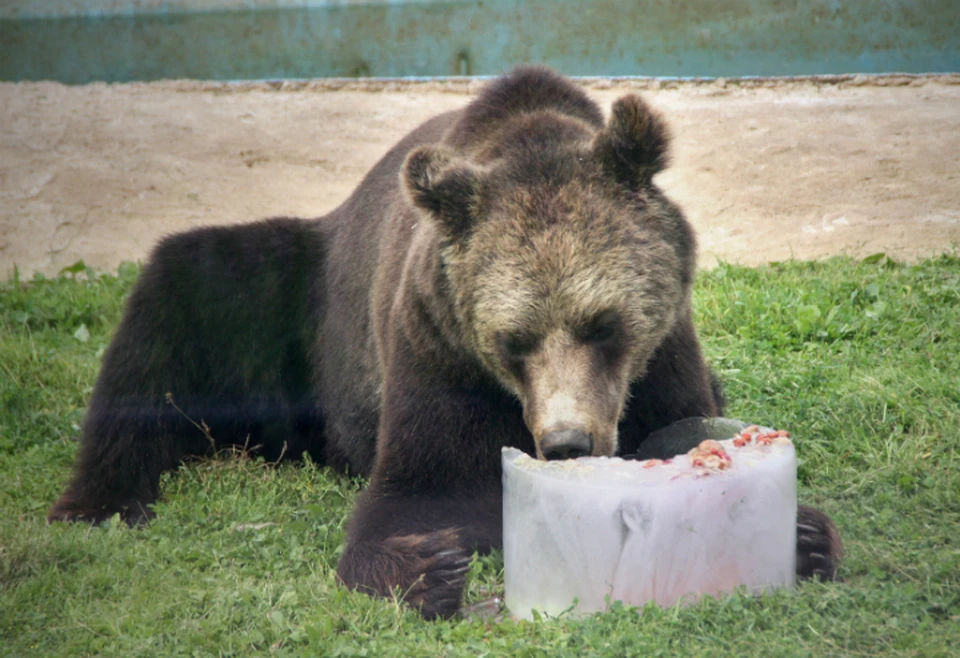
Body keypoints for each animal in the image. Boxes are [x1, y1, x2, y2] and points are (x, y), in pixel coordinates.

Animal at [48, 65, 840, 616]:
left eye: (603, 324)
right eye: (514, 338)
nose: (567, 443)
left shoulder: (662, 354)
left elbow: (684, 427)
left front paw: (801, 534)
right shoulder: (437, 350)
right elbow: (424, 490)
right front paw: (427, 564)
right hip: (289, 312)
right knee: (176, 295)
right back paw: (99, 500)